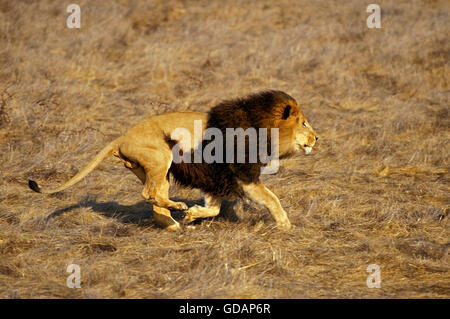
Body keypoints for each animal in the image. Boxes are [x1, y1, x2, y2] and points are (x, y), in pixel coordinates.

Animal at [28, 91, 318, 231]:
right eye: (304, 123)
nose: (317, 138)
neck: (260, 126)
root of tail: (121, 138)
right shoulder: (243, 176)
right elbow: (272, 199)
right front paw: (285, 225)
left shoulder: (218, 178)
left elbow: (213, 208)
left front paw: (193, 215)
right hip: (161, 157)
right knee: (148, 194)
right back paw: (178, 207)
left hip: (157, 170)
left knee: (156, 200)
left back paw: (175, 224)